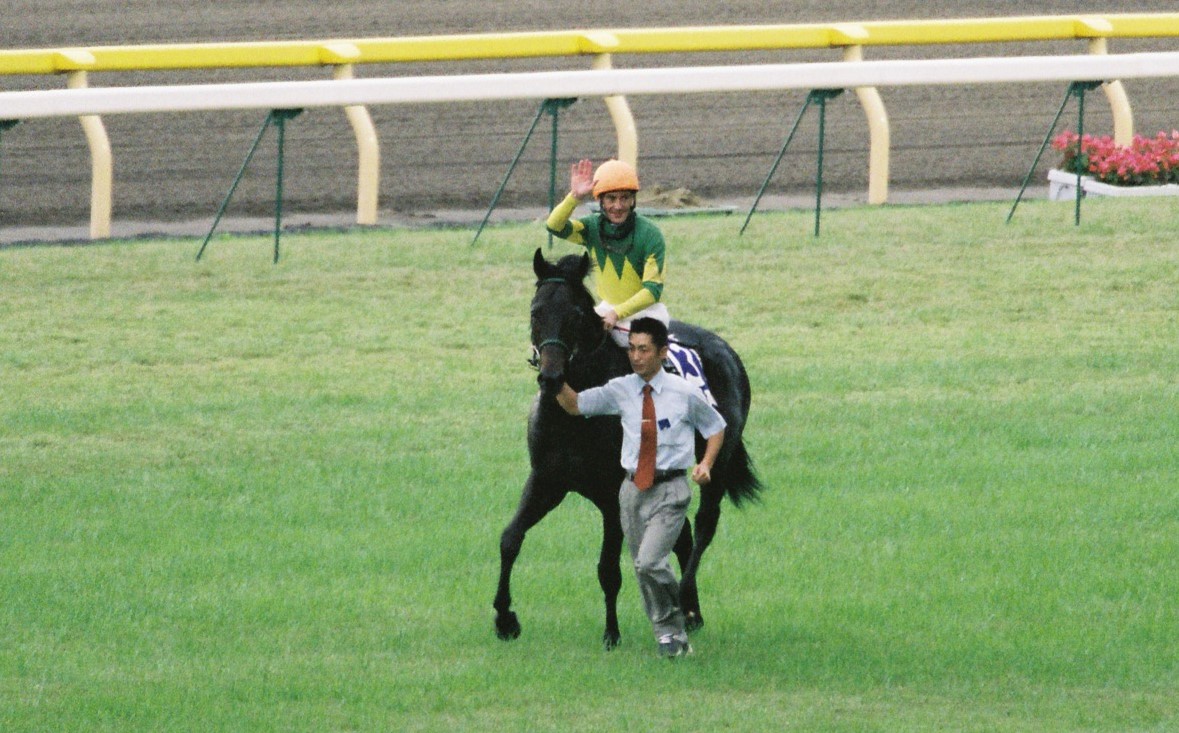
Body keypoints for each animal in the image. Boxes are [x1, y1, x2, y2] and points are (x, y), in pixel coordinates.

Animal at [490, 251, 759, 650]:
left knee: (704, 525)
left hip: (717, 461)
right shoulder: (547, 481)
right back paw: (691, 613)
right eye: (535, 312)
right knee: (682, 534)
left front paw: (611, 633)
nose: (551, 377)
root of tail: (726, 350)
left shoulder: (611, 494)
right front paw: (505, 618)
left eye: (576, 314)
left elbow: (607, 568)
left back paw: (684, 597)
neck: (578, 412)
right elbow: (510, 539)